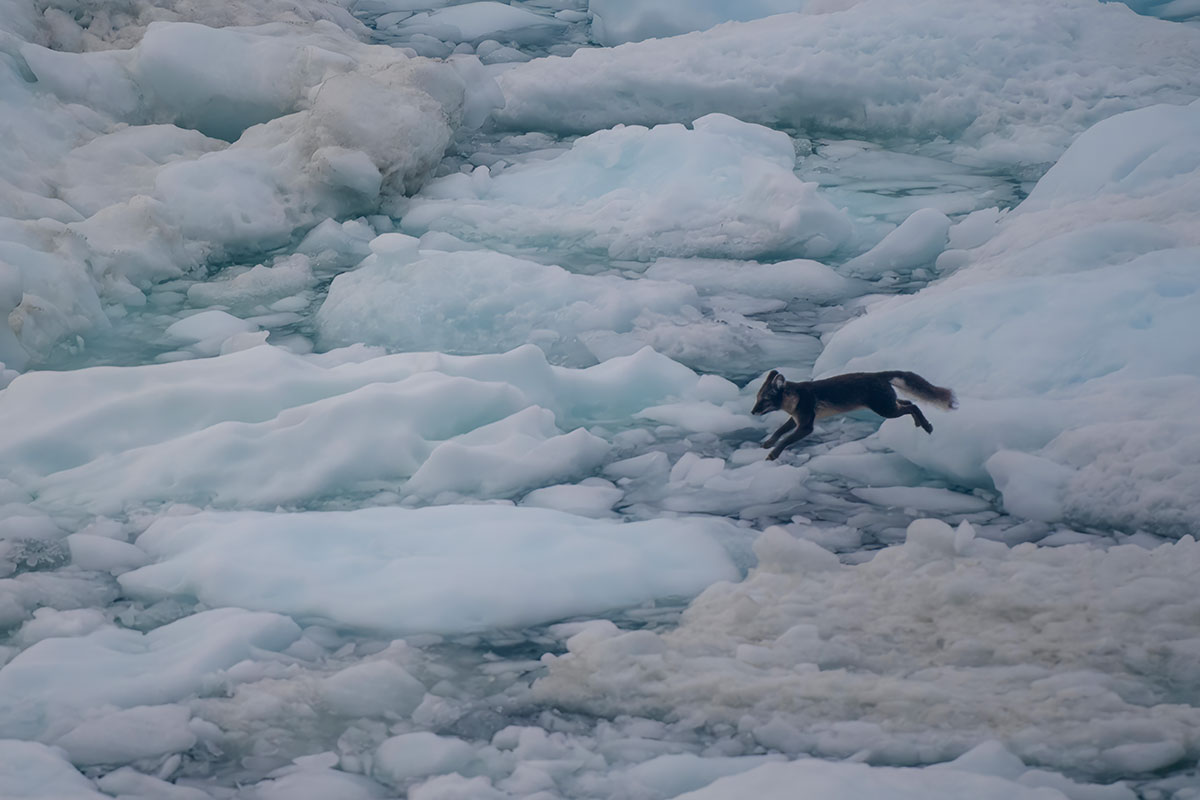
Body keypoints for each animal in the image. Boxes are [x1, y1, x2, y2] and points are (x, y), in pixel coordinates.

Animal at [751, 370, 957, 461]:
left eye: (765, 400)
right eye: (757, 397)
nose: (752, 411)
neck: (796, 398)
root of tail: (878, 375)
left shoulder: (806, 425)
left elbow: (786, 439)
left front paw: (773, 454)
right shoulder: (796, 420)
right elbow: (779, 431)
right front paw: (768, 443)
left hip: (886, 410)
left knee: (912, 406)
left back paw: (927, 426)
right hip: (889, 405)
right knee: (908, 402)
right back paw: (920, 424)